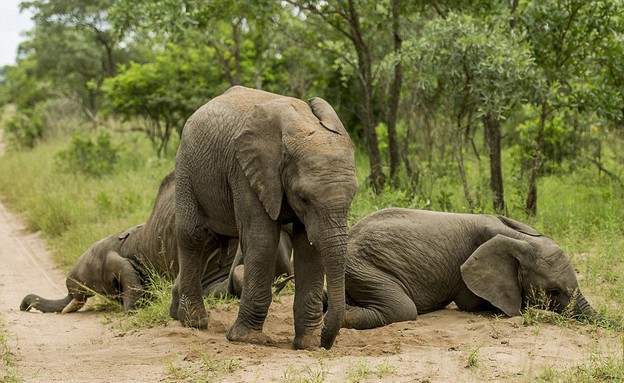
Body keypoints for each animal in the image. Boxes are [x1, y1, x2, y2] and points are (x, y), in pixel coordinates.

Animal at [172, 85, 356, 352]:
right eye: (303, 199)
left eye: (352, 197)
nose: (325, 344)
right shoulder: (246, 170)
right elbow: (263, 240)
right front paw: (246, 339)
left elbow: (309, 248)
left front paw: (308, 344)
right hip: (186, 166)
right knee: (193, 236)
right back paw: (194, 322)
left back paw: (176, 313)